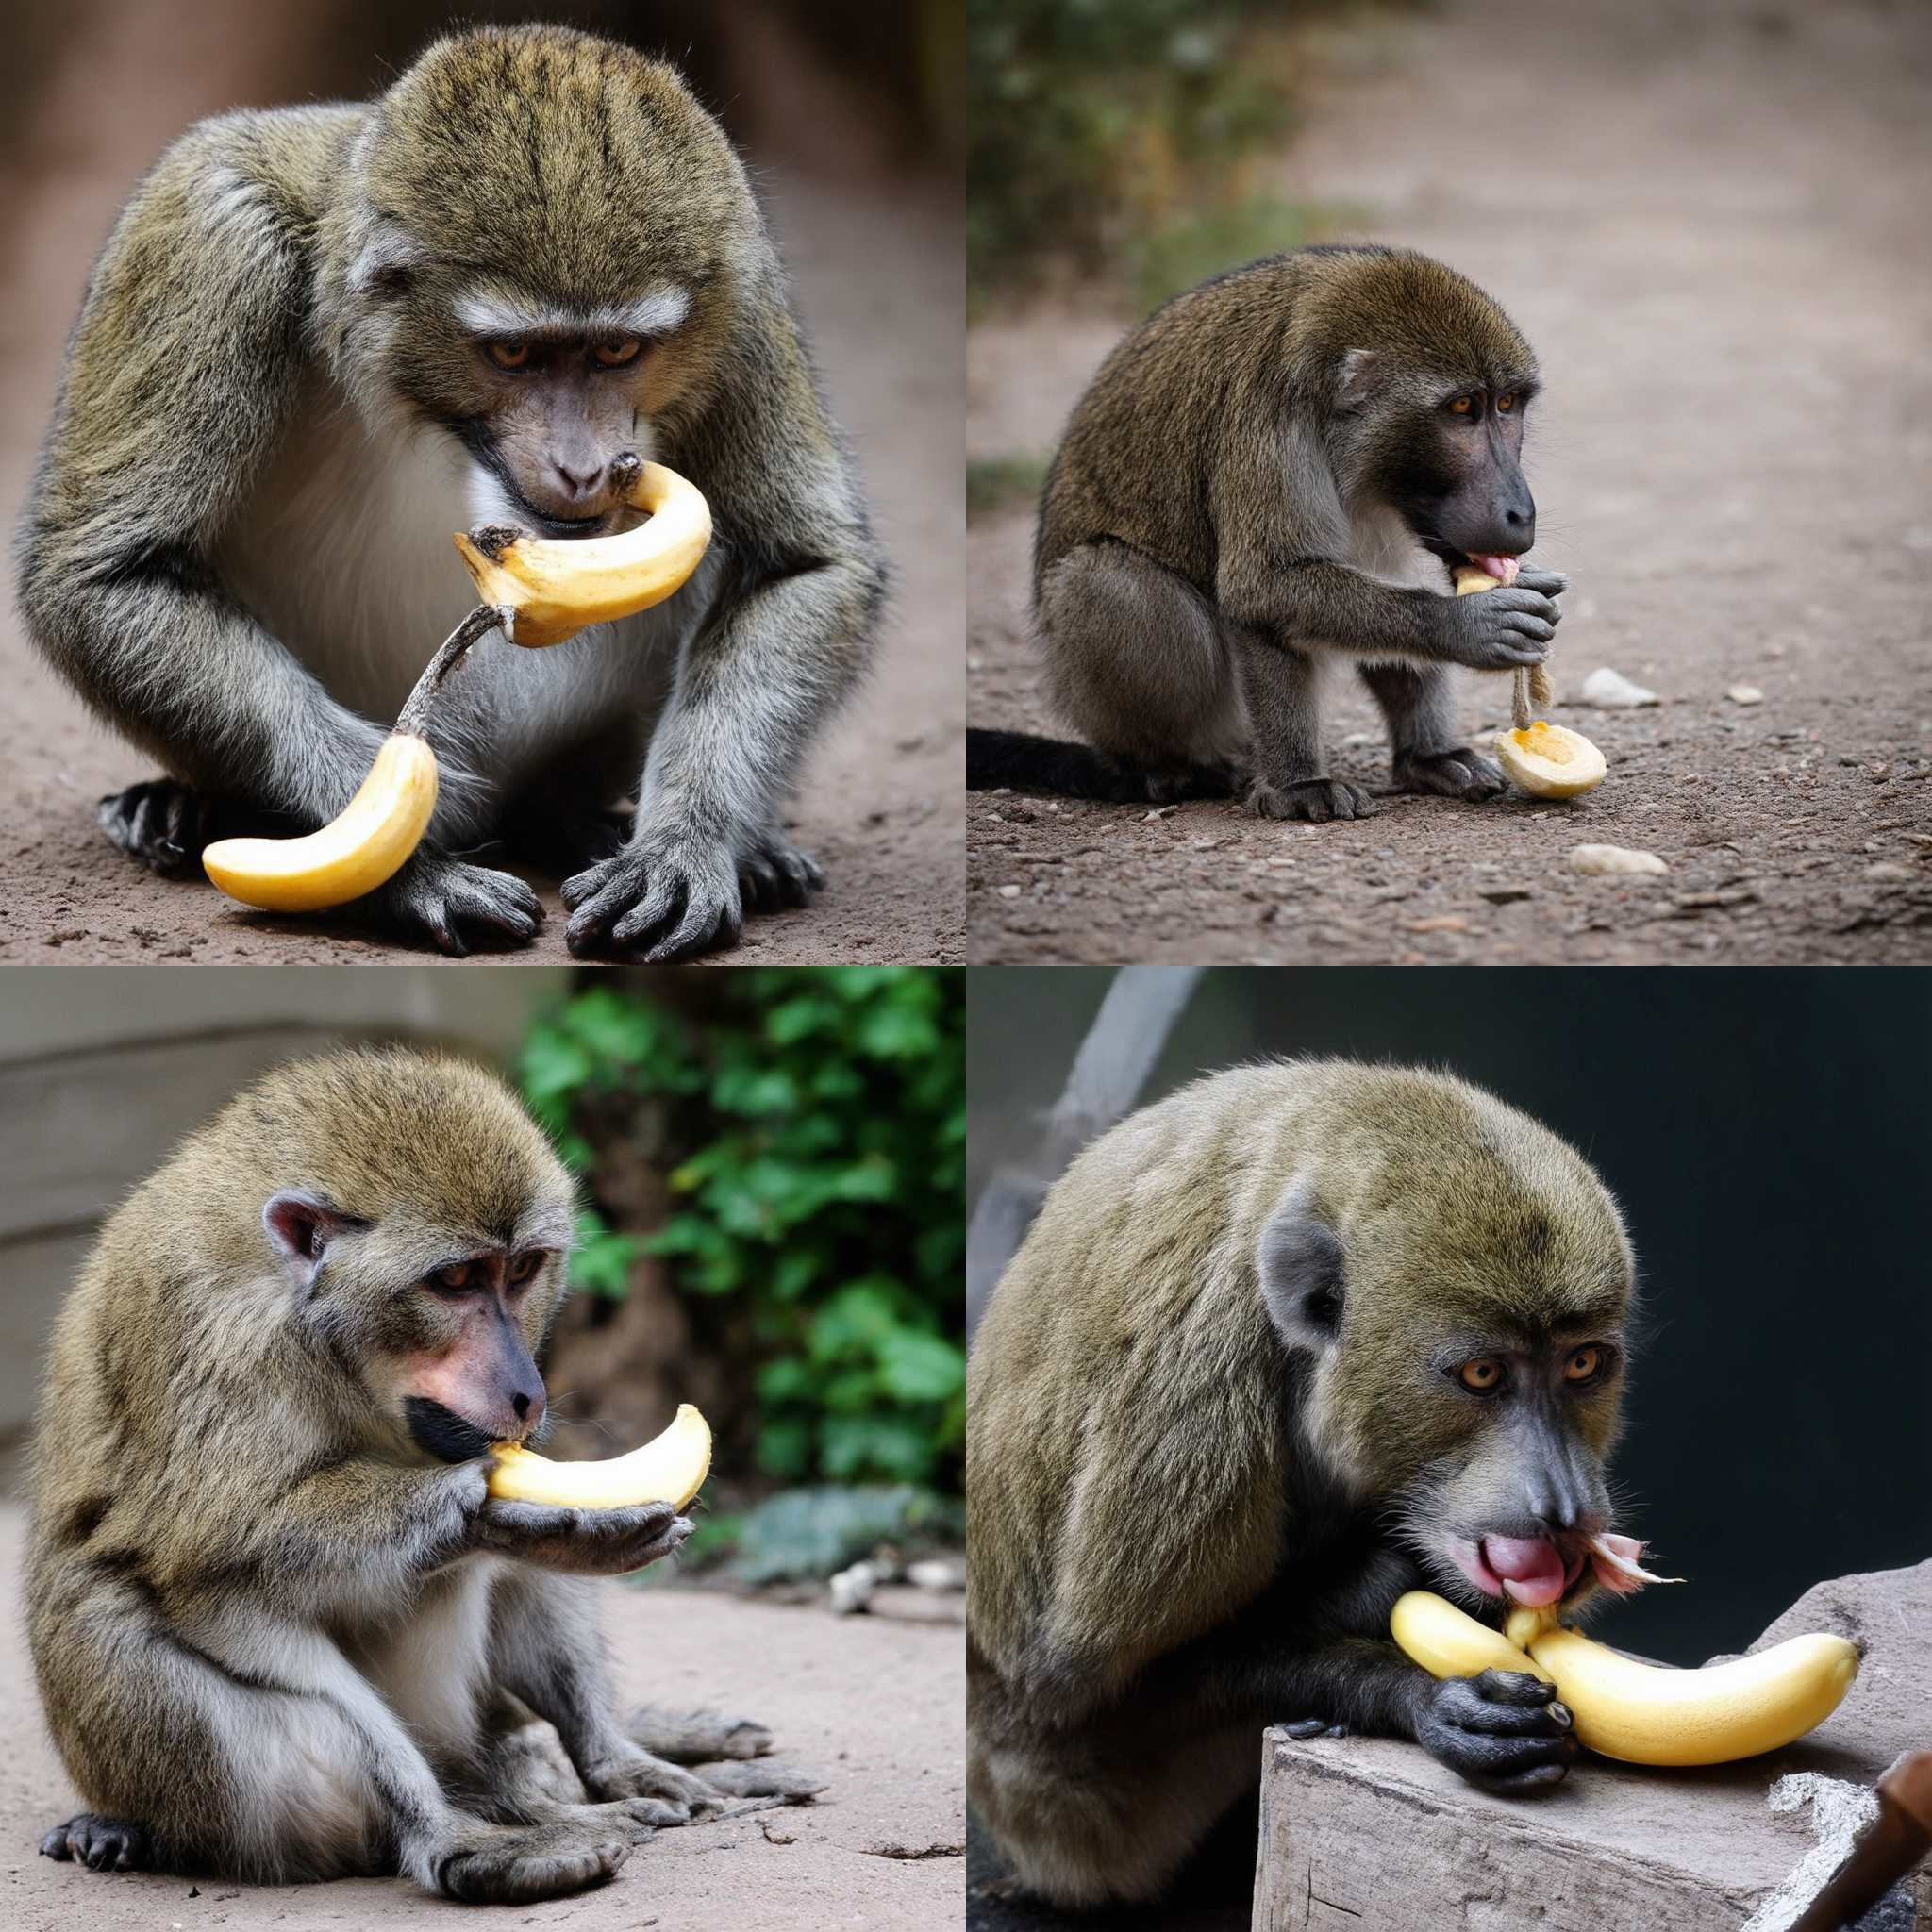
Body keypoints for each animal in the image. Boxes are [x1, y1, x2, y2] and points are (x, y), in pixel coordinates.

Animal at [15, 26, 884, 961]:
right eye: (514, 355)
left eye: (617, 352)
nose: (582, 467)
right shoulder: (213, 233)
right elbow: (105, 573)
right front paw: (404, 862)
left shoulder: (738, 280)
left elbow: (806, 563)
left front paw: (686, 842)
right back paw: (190, 806)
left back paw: (580, 817)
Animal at [27, 1042, 815, 1901]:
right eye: (456, 1281)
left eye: (522, 1270)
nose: (528, 1392)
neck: (322, 1341)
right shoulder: (215, 1341)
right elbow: (211, 1573)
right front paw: (494, 1516)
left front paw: (615, 1754)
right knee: (138, 1625)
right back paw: (468, 1827)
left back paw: (586, 1767)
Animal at [966, 242, 1568, 815]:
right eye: (1464, 408)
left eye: (1506, 403)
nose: (1520, 512)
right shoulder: (1266, 426)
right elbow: (1263, 591)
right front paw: (1459, 626)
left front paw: (1430, 753)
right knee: (1109, 581)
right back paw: (1166, 768)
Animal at [966, 1066, 1645, 1908]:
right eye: (1483, 1375)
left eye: (1583, 1364)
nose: (1562, 1507)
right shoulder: (1190, 1400)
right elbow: (1078, 1691)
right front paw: (1412, 1691)